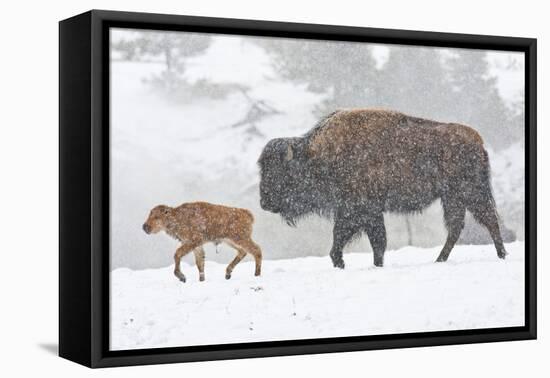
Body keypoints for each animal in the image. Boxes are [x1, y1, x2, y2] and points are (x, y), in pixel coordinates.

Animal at [258, 108, 508, 268]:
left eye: (279, 172)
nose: (264, 202)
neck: (318, 155)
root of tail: (478, 141)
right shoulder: (364, 212)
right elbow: (373, 241)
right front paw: (367, 264)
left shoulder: (358, 210)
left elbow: (359, 239)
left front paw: (343, 262)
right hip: (453, 197)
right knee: (458, 226)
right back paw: (440, 260)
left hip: (470, 192)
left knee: (488, 220)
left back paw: (501, 255)